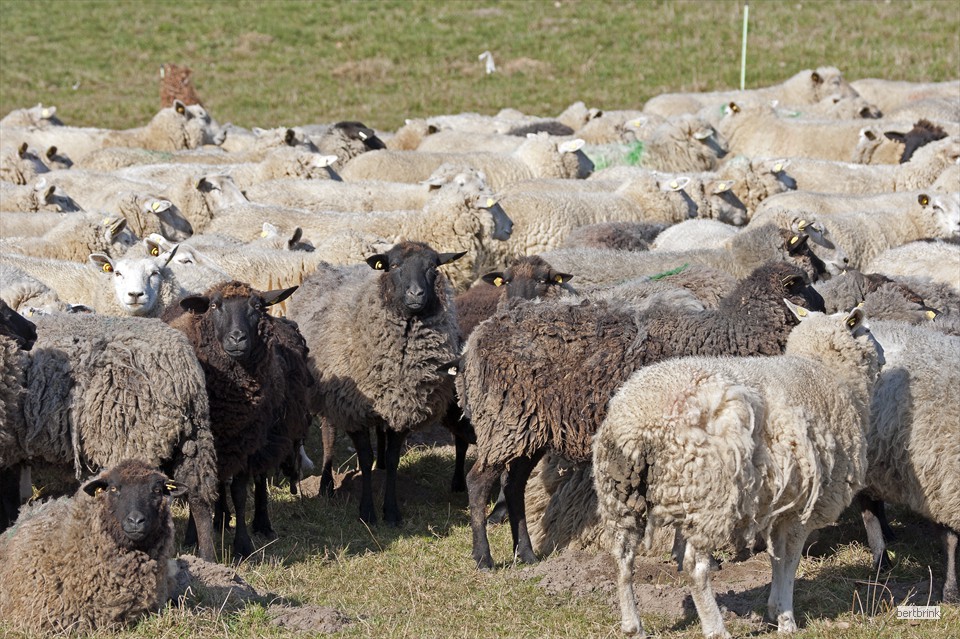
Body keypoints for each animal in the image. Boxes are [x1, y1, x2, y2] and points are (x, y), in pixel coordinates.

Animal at [165, 281, 311, 559]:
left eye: (257, 307)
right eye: (214, 306)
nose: (237, 338)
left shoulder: (244, 440)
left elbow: (240, 493)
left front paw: (243, 545)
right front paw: (195, 536)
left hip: (265, 437)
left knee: (260, 478)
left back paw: (261, 524)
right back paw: (217, 521)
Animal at [285, 241, 463, 525]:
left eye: (433, 266)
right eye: (394, 265)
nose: (416, 293)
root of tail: (327, 266)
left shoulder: (404, 407)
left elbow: (393, 458)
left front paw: (391, 511)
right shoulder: (353, 408)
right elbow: (364, 458)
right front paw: (367, 512)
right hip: (327, 393)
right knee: (329, 436)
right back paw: (326, 485)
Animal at [458, 261, 826, 569]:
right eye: (804, 286)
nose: (826, 308)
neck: (723, 338)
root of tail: (478, 335)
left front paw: (682, 555)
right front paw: (696, 559)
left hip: (529, 427)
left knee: (514, 485)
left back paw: (527, 554)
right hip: (502, 420)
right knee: (477, 482)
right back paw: (483, 558)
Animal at [593, 304, 880, 637]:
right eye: (866, 329)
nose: (884, 357)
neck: (825, 370)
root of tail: (638, 420)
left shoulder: (783, 502)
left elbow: (776, 555)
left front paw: (774, 610)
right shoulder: (806, 504)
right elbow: (790, 559)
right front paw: (786, 618)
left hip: (619, 489)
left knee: (622, 555)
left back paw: (632, 625)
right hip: (708, 496)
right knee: (695, 567)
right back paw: (715, 628)